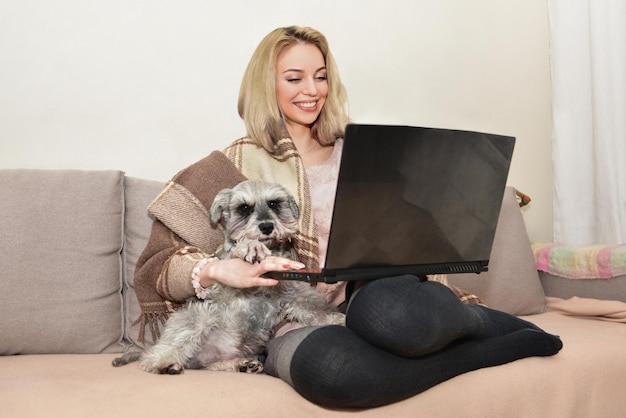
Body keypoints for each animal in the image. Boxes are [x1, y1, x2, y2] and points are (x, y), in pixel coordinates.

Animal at [114, 180, 344, 376]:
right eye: (244, 208)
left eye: (274, 203)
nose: (267, 226)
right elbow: (238, 249)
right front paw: (251, 247)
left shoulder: (293, 291)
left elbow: (316, 308)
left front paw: (339, 319)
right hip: (200, 315)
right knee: (162, 351)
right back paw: (164, 364)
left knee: (208, 365)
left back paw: (242, 364)